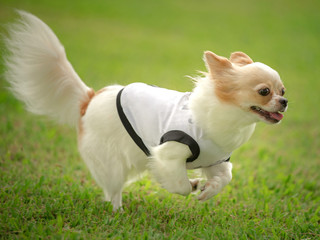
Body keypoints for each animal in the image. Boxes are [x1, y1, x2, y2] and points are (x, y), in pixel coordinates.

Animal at [3, 11, 288, 210]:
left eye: (283, 90)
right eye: (264, 92)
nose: (285, 102)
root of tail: (90, 98)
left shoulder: (215, 160)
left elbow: (225, 177)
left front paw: (208, 190)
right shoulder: (168, 153)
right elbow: (179, 184)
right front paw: (191, 185)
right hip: (112, 162)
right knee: (112, 190)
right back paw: (117, 212)